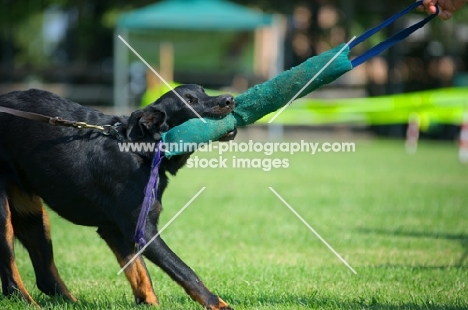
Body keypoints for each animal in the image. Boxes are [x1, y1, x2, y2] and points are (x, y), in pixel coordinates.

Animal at [0, 84, 234, 308]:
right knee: (11, 282)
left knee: (45, 277)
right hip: (4, 216)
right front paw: (218, 304)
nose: (229, 99)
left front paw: (149, 304)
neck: (140, 150)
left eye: (203, 92)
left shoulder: (114, 229)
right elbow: (185, 271)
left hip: (33, 217)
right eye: (189, 101)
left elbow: (140, 273)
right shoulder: (143, 230)